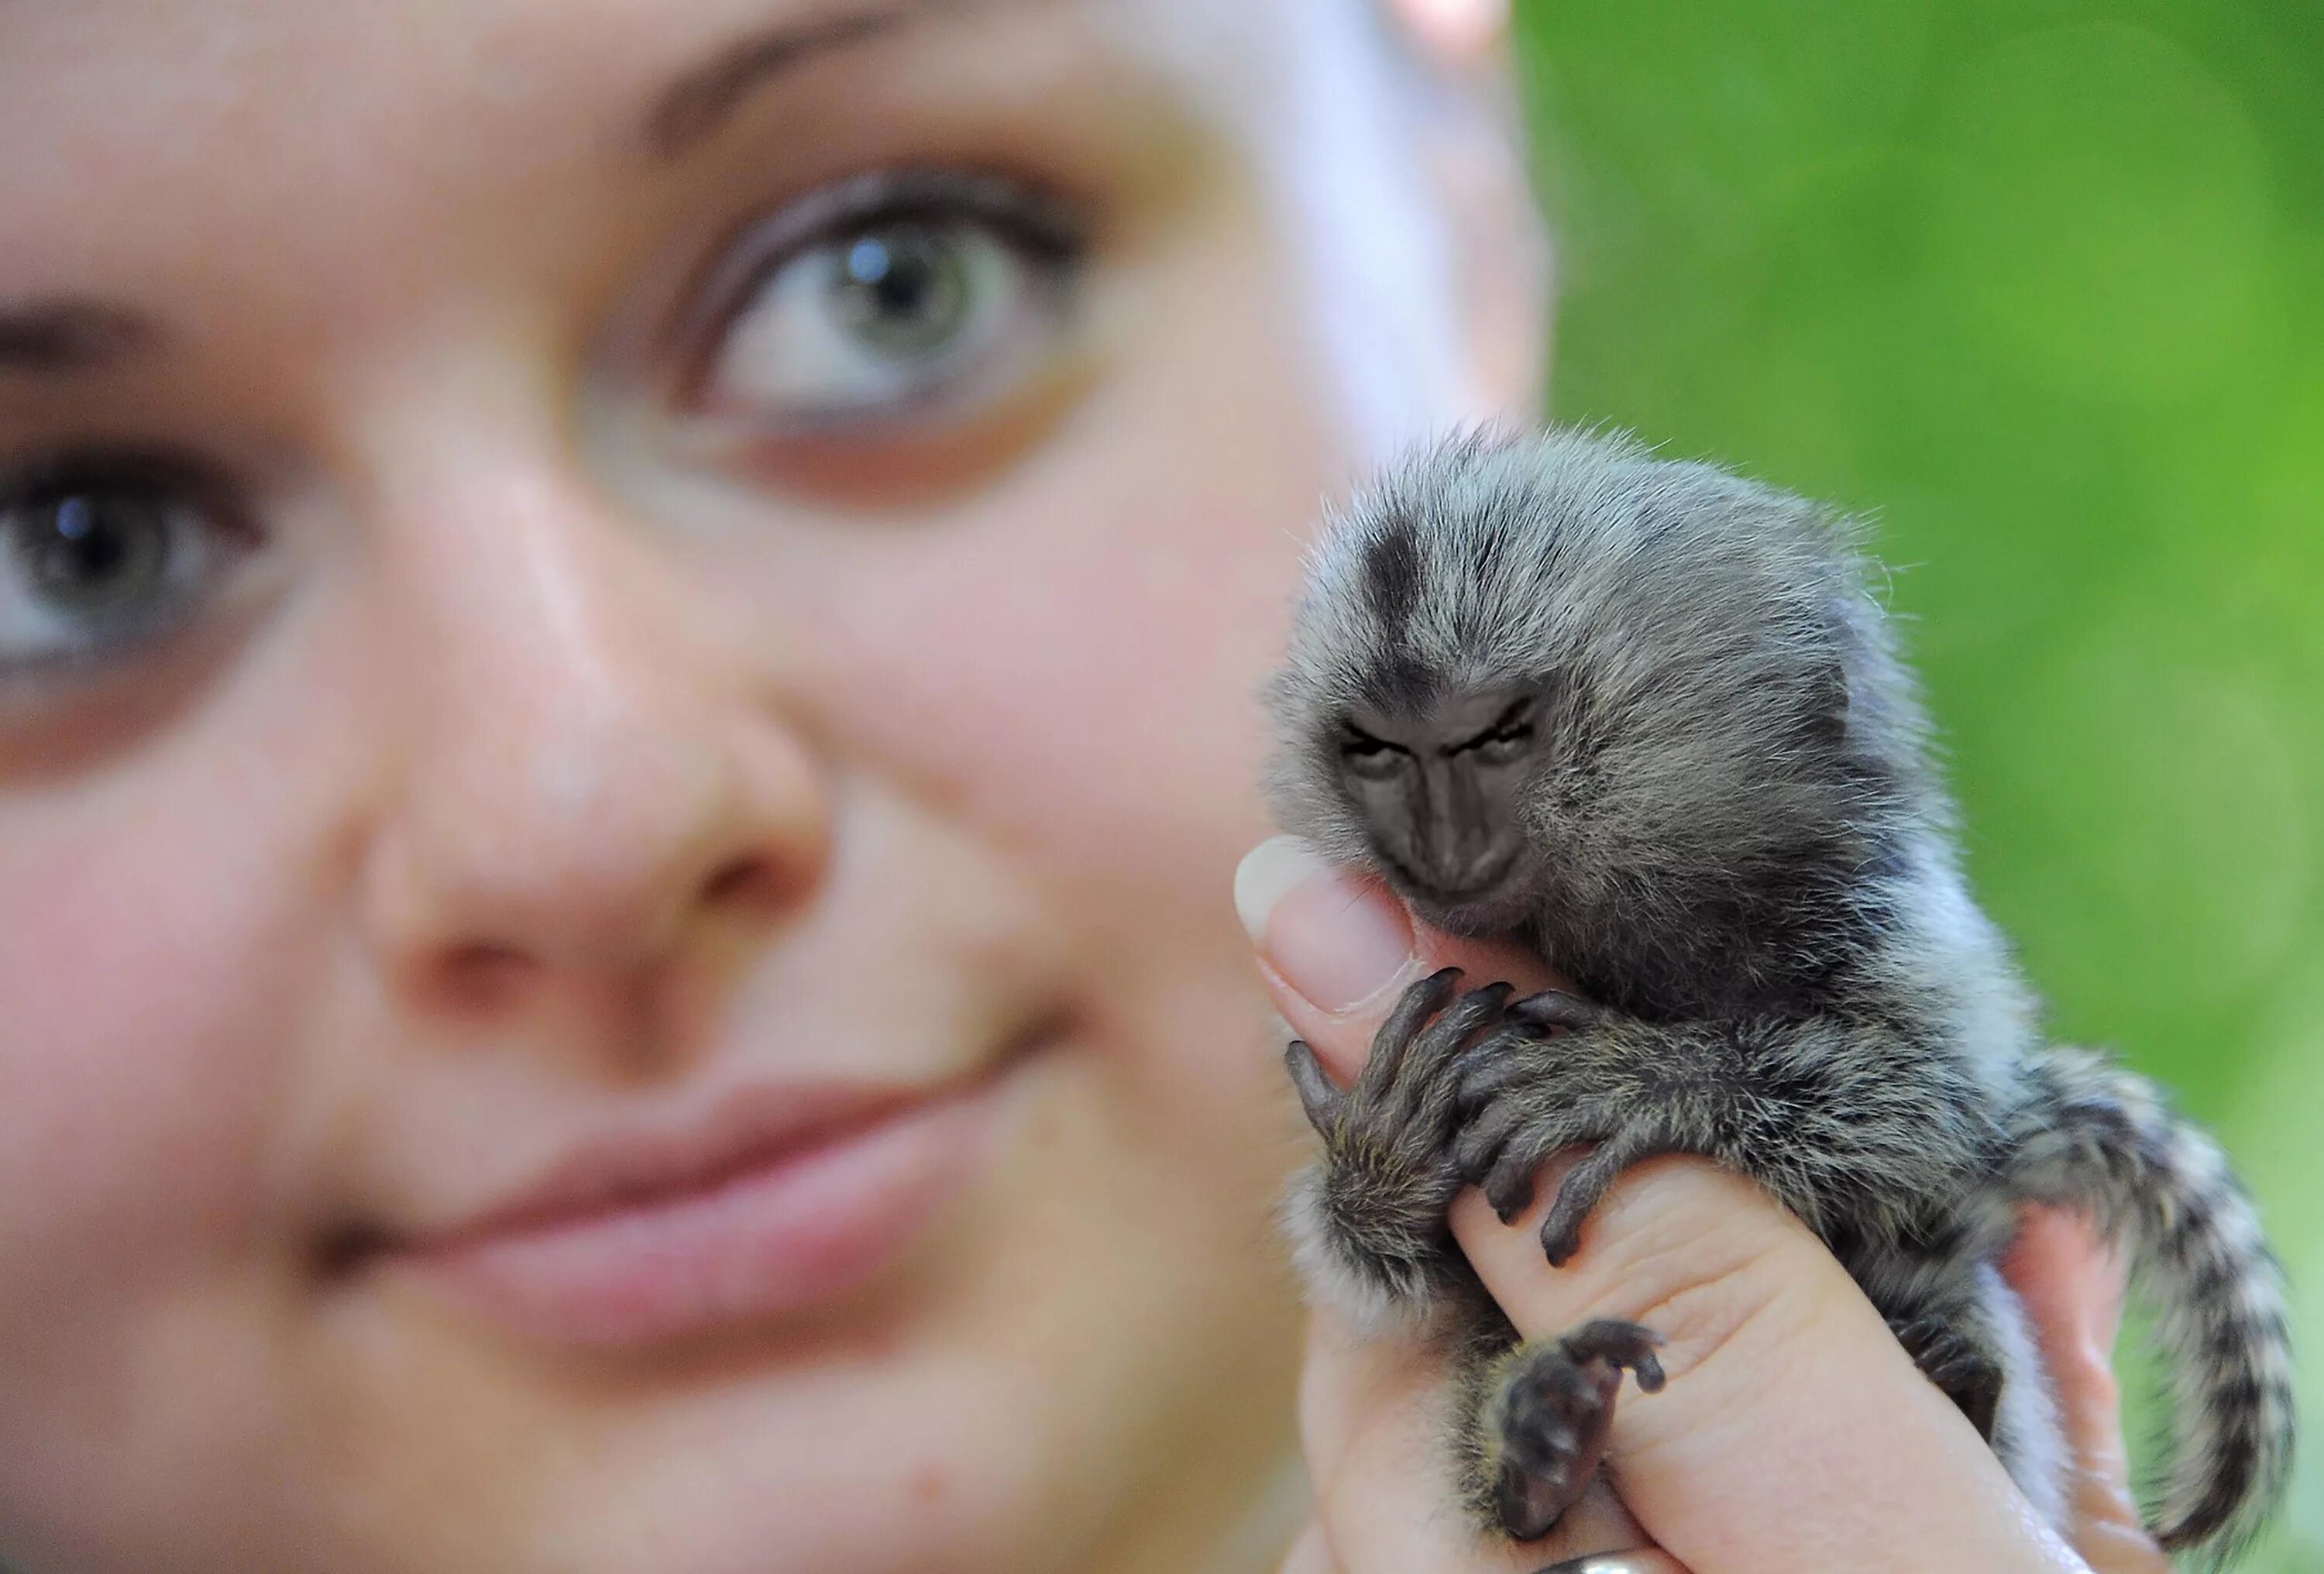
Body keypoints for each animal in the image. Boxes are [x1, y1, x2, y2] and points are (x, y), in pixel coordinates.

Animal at [1264, 428, 2296, 1562]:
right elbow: (1410, 1275)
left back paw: (1957, 1383)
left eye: (1497, 736)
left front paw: (1653, 1081)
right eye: (1376, 750)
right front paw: (1385, 1160)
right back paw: (1537, 1444)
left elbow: (1929, 1107)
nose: (1434, 839)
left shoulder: (1892, 920)